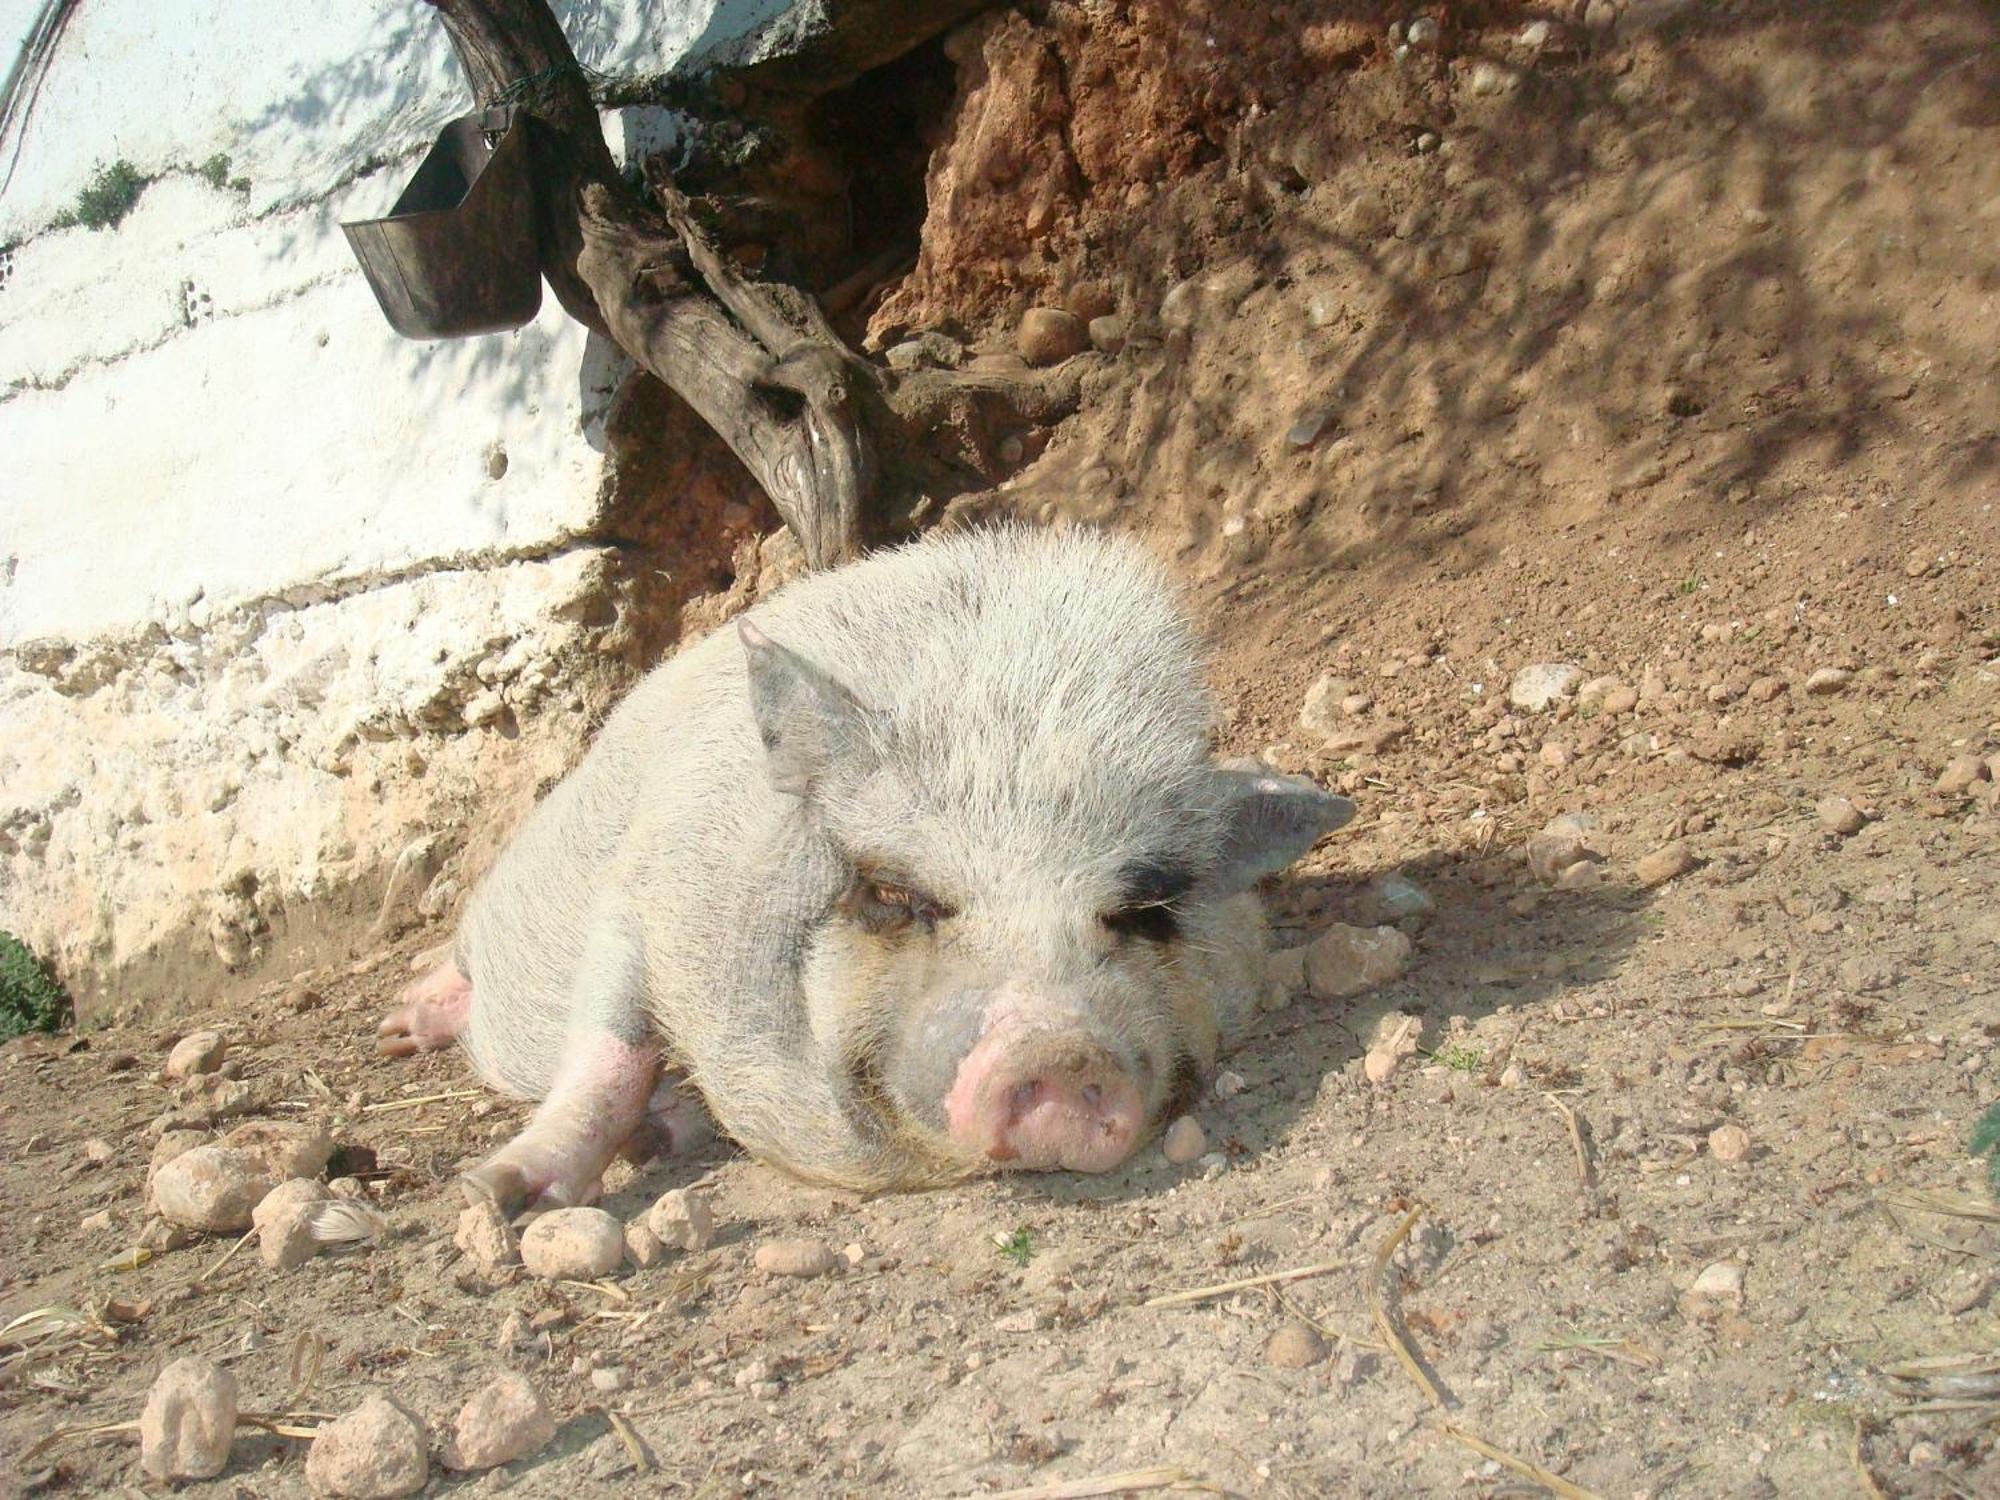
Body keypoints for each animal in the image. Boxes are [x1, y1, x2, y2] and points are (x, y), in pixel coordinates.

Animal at [382, 528, 1352, 1208]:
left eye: (1147, 910)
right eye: (890, 893)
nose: (1059, 1047)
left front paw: (651, 1141)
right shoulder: (640, 887)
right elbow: (608, 1050)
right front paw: (493, 1200)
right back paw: (401, 1031)